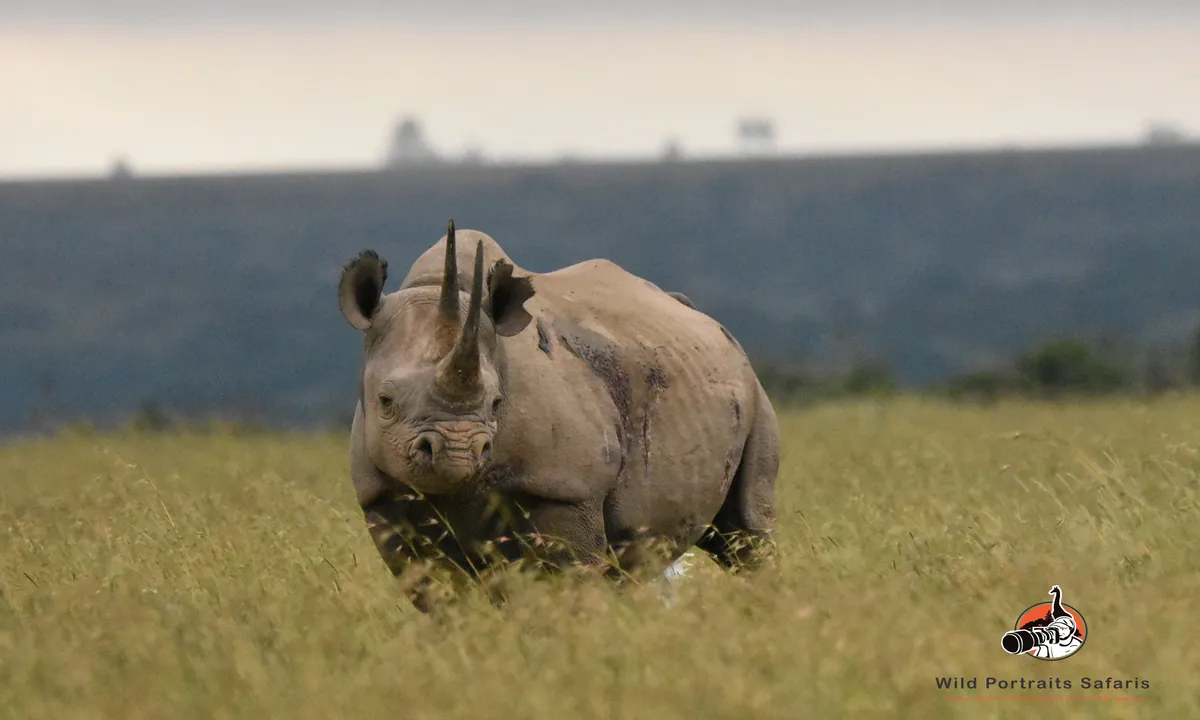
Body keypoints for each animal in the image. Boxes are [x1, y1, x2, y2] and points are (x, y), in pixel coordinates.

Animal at [338, 221, 780, 610]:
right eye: (385, 401)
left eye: (497, 404)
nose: (456, 453)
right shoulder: (382, 496)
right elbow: (436, 591)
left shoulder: (567, 487)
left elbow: (567, 582)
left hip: (751, 387)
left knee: (746, 530)